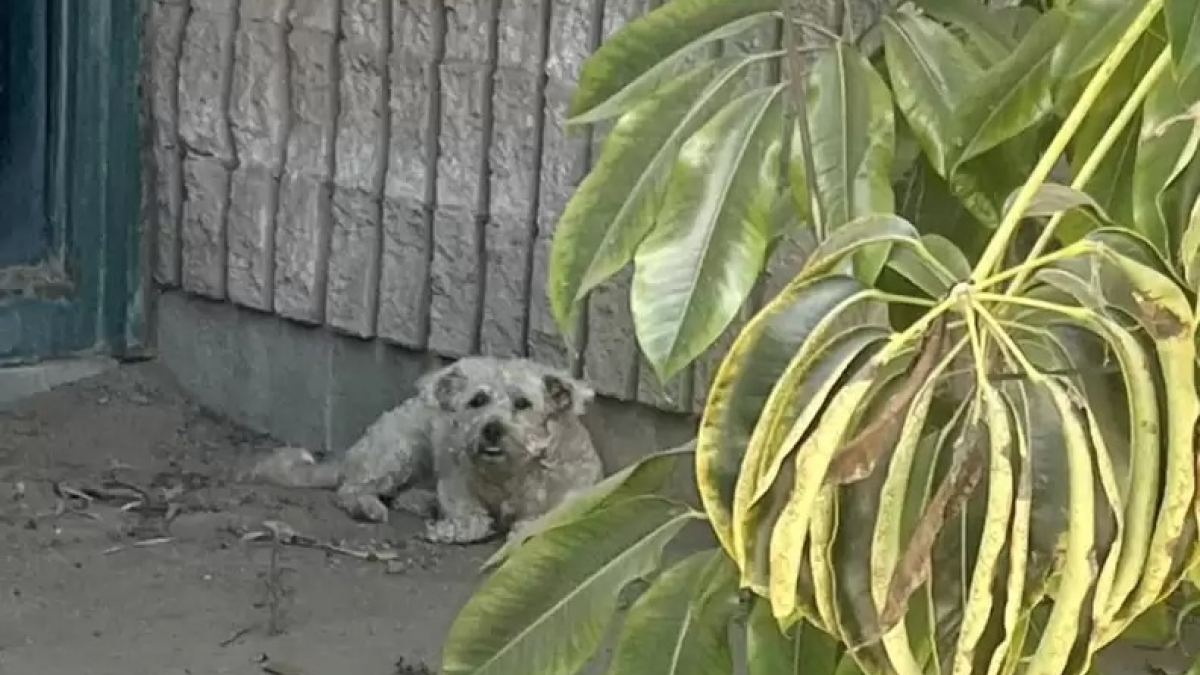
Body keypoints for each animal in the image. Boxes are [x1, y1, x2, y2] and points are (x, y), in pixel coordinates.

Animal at [243, 355, 604, 542]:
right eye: (478, 400)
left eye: (523, 403)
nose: (491, 429)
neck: (509, 473)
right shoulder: (456, 485)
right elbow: (473, 518)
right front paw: (450, 528)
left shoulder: (571, 495)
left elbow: (535, 522)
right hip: (400, 450)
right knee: (352, 489)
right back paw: (369, 506)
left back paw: (419, 501)